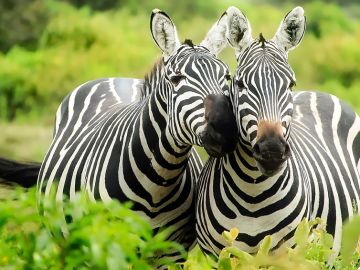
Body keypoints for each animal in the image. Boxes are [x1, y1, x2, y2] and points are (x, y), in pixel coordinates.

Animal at [0, 8, 239, 252]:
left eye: (227, 77)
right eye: (176, 79)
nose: (226, 129)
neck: (159, 181)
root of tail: (114, 78)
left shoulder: (172, 250)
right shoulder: (111, 244)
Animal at [195, 5, 360, 258]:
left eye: (290, 84)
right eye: (240, 84)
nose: (271, 151)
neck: (252, 194)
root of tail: (318, 93)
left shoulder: (289, 254)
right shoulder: (215, 256)